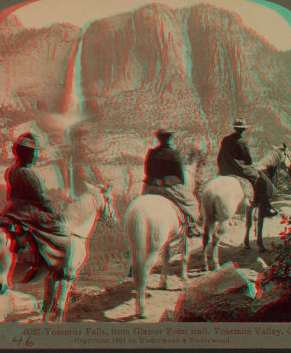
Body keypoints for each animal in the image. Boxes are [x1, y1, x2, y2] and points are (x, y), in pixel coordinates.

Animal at [0, 182, 117, 322]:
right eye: (110, 199)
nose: (115, 220)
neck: (73, 230)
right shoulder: (67, 276)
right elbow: (61, 305)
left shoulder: (52, 277)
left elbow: (49, 304)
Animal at [125, 166, 201, 318]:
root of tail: (139, 211)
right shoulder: (185, 236)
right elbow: (184, 257)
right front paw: (184, 282)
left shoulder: (167, 241)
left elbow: (167, 258)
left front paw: (163, 283)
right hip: (153, 249)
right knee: (144, 272)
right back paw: (143, 310)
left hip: (136, 247)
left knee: (138, 271)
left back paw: (139, 307)